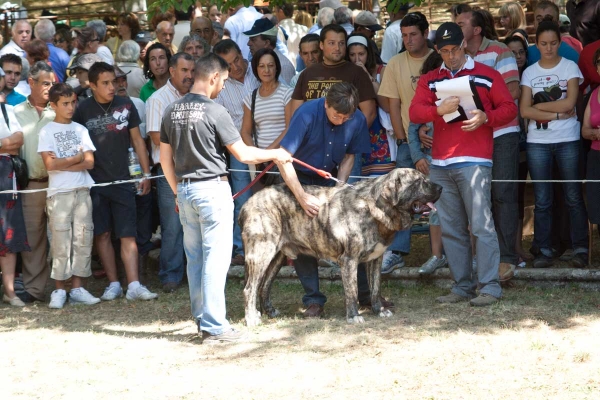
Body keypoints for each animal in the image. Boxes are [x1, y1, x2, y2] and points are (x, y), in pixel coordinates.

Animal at [239, 167, 440, 326]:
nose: (441, 188)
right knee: (250, 288)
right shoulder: (349, 260)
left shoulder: (376, 259)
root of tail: (247, 204)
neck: (375, 208)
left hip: (277, 257)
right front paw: (353, 316)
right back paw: (252, 318)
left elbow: (375, 288)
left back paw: (268, 312)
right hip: (262, 253)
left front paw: (379, 310)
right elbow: (352, 291)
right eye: (419, 181)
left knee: (263, 285)